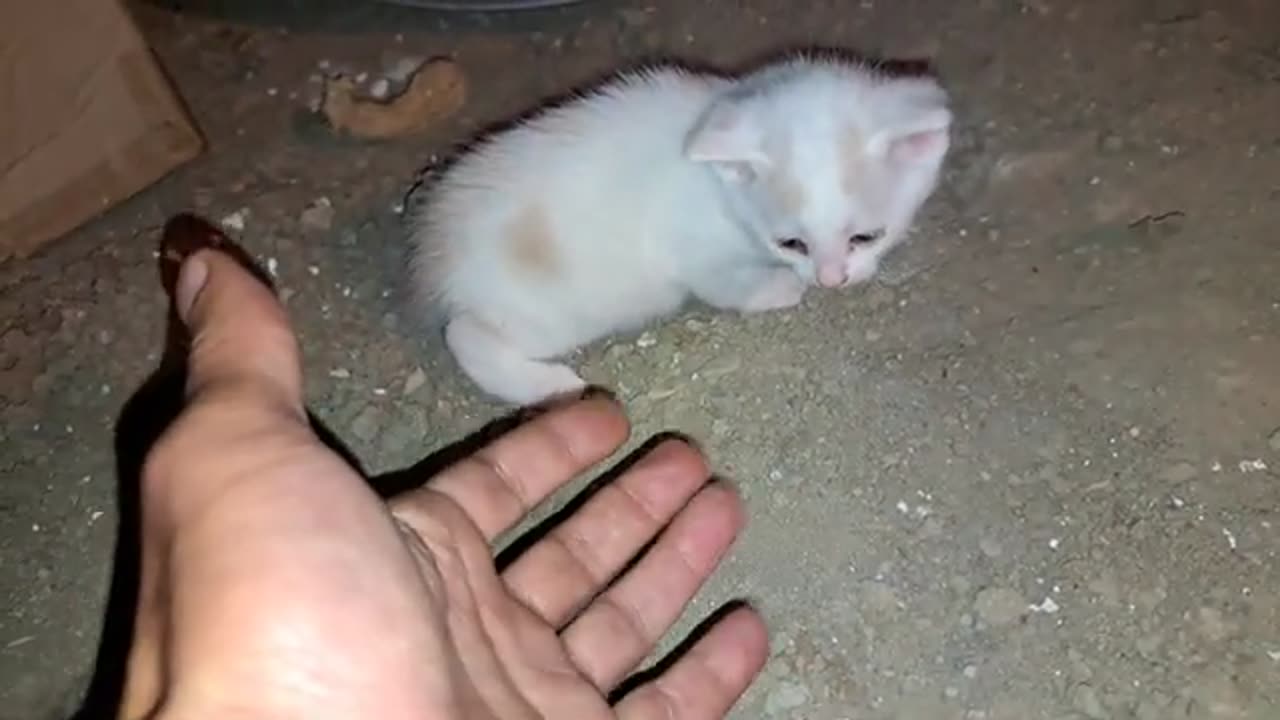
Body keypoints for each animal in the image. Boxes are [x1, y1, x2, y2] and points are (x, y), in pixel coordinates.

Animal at [407, 54, 952, 404]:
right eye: (791, 243)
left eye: (866, 237)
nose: (832, 281)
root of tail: (435, 254)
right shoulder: (687, 244)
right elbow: (719, 281)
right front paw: (779, 287)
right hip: (551, 310)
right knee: (465, 334)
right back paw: (546, 386)